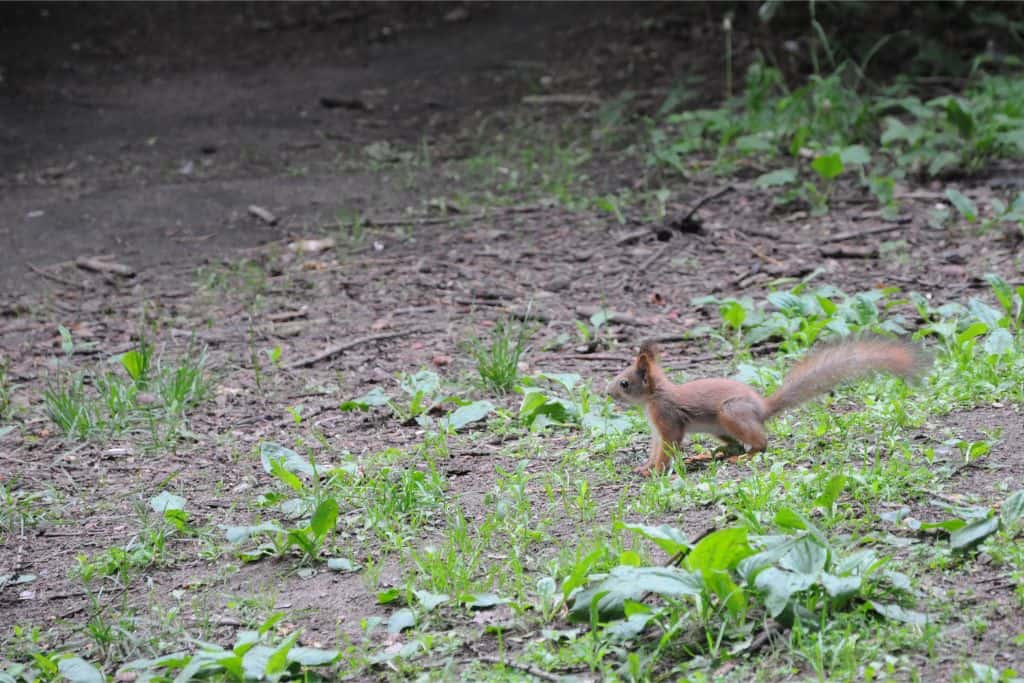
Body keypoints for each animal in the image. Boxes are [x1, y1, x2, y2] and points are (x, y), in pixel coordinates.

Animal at [610, 337, 933, 475]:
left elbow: (668, 448)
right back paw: (708, 454)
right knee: (734, 444)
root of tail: (761, 410)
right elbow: (656, 449)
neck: (655, 396)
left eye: (624, 382)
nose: (606, 392)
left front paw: (654, 472)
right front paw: (645, 466)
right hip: (720, 427)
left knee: (760, 444)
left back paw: (742, 457)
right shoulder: (657, 429)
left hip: (730, 413)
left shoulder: (667, 420)